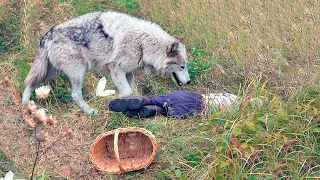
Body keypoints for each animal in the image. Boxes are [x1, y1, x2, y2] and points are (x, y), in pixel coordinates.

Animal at [24, 11, 192, 114]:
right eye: (182, 66)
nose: (189, 81)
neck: (143, 43)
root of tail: (47, 34)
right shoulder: (116, 70)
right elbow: (127, 92)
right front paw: (117, 99)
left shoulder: (128, 73)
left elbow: (131, 91)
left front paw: (128, 105)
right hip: (78, 72)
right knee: (75, 95)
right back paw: (90, 111)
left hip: (50, 73)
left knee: (30, 84)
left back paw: (26, 107)